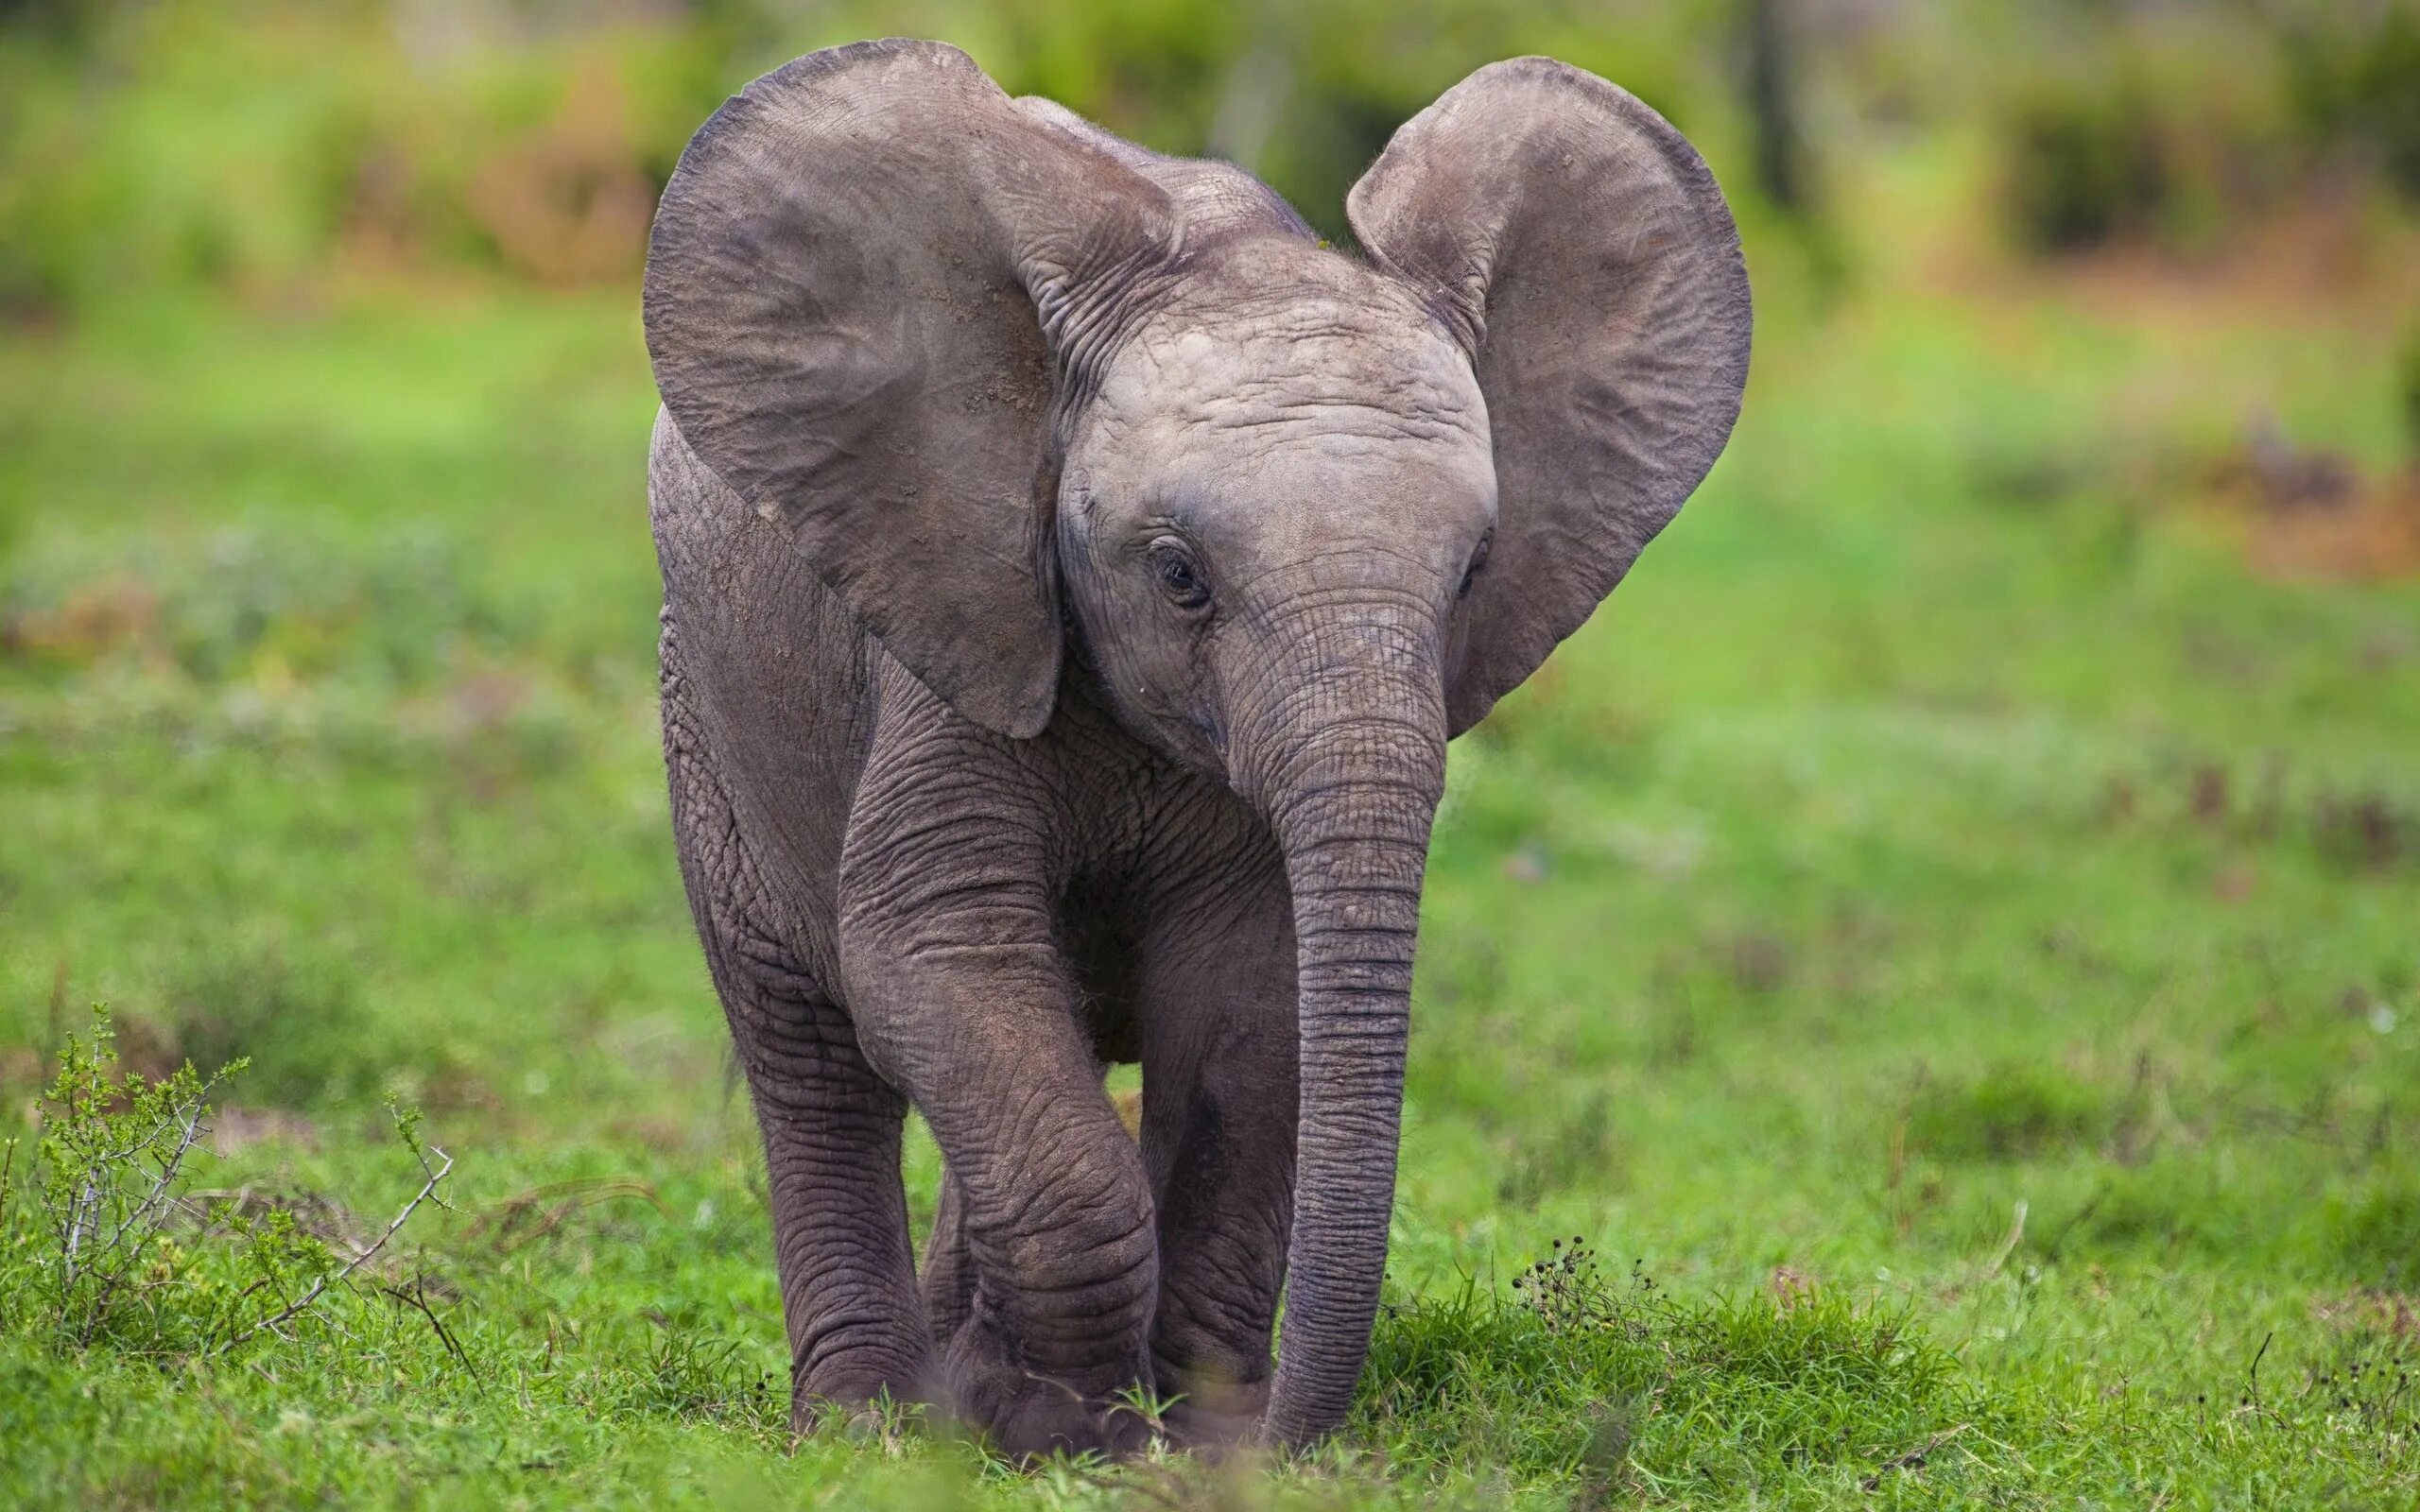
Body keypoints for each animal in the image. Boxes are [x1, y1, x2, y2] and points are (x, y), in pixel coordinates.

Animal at [643, 41, 1742, 1461]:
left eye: (1472, 574)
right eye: (1178, 576)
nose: (1279, 1432)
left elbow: (1246, 1003)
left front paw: (1168, 1428)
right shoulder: (954, 630)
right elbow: (936, 952)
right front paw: (1057, 1424)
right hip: (706, 699)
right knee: (811, 1052)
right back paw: (865, 1422)